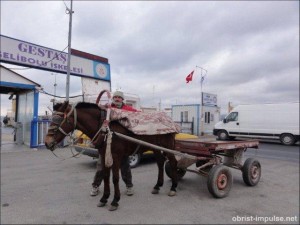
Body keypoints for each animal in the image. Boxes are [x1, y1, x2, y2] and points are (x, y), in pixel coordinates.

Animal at [45, 102, 178, 211]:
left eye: (59, 119)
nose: (47, 142)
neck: (105, 128)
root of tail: (170, 120)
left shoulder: (116, 156)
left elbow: (115, 178)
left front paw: (115, 201)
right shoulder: (104, 155)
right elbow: (105, 176)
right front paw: (104, 198)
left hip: (168, 146)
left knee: (173, 162)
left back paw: (173, 188)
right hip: (156, 148)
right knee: (160, 163)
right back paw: (157, 186)